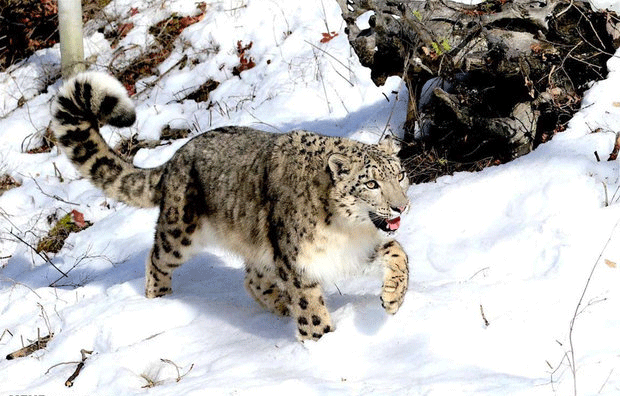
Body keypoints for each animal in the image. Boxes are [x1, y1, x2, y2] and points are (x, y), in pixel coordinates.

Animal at [52, 71, 412, 340]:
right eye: (371, 184)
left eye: (400, 174)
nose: (401, 207)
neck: (348, 230)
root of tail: (175, 158)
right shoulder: (297, 264)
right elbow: (309, 307)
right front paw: (321, 343)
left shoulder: (356, 248)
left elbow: (398, 252)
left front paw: (393, 298)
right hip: (180, 231)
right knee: (156, 257)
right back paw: (160, 300)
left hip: (259, 244)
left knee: (252, 279)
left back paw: (279, 306)